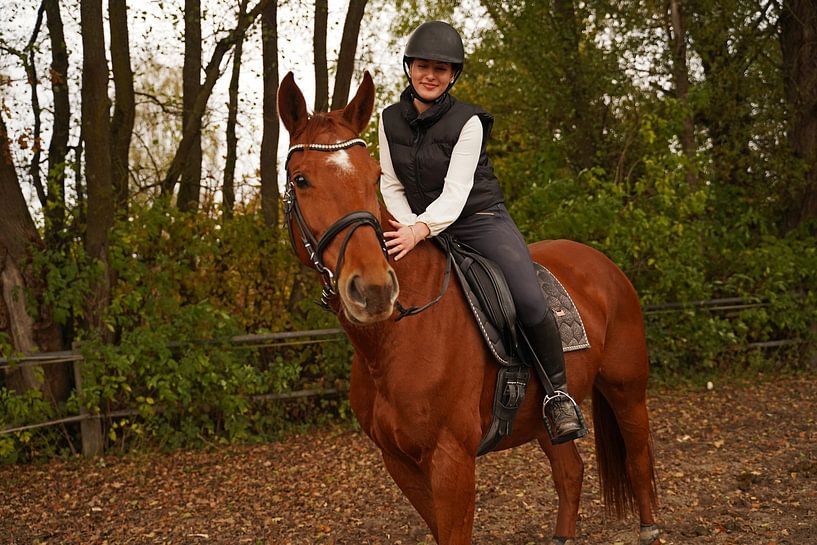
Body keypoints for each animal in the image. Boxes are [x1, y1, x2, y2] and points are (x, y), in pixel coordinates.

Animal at [277, 70, 660, 545]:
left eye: (373, 176)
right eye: (301, 180)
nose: (374, 289)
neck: (395, 338)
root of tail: (603, 264)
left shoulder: (451, 460)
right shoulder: (401, 464)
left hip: (627, 389)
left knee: (638, 457)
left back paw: (649, 528)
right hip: (546, 421)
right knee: (570, 472)